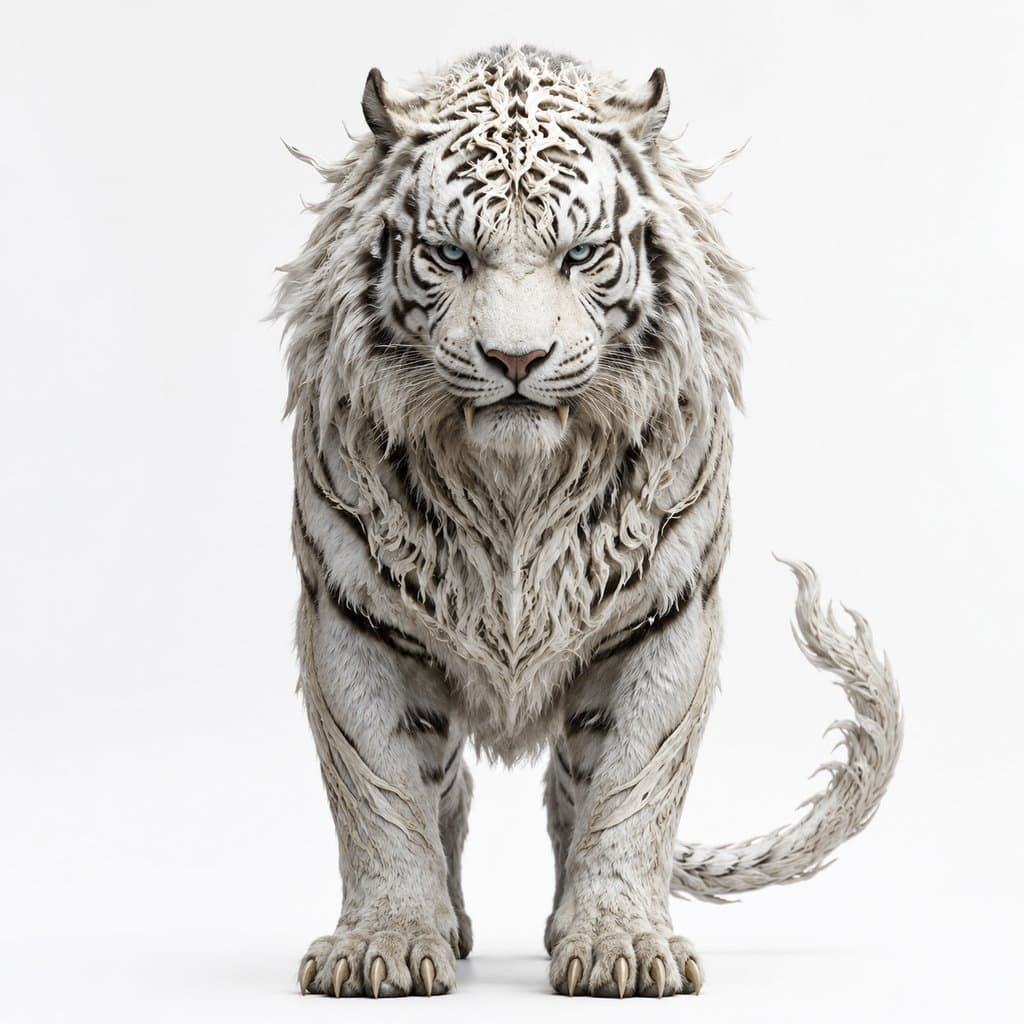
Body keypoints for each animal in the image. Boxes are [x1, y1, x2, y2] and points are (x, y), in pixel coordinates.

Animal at [275, 44, 902, 999]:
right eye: (451, 254)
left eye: (580, 255)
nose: (516, 359)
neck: (514, 494)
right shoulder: (353, 619)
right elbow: (381, 795)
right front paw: (384, 944)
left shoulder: (664, 622)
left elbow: (630, 790)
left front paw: (621, 946)